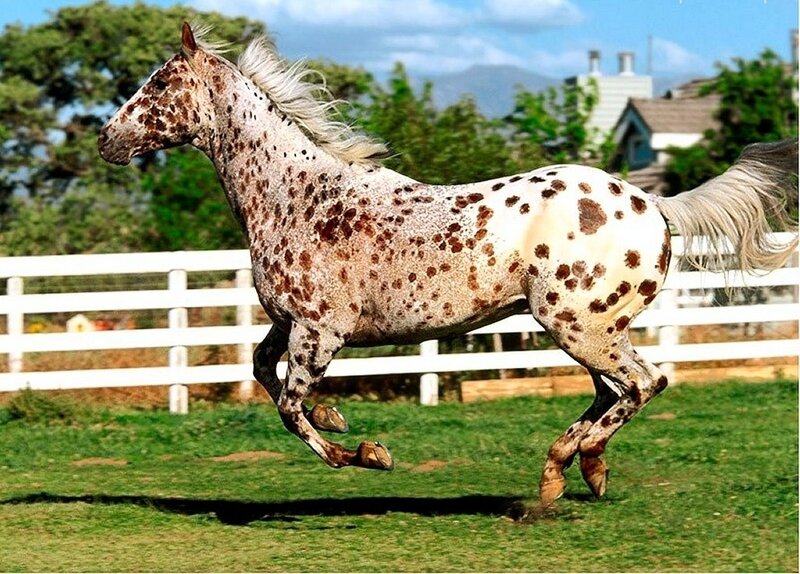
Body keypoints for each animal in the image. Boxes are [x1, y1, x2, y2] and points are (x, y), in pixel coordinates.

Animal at [98, 22, 798, 512]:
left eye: (157, 84)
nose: (107, 139)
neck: (294, 196)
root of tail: (653, 203)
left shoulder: (320, 332)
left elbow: (291, 408)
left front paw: (368, 453)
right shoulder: (287, 324)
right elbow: (263, 373)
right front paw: (340, 420)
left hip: (579, 325)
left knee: (643, 384)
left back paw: (567, 466)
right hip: (590, 329)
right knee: (613, 393)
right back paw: (575, 471)